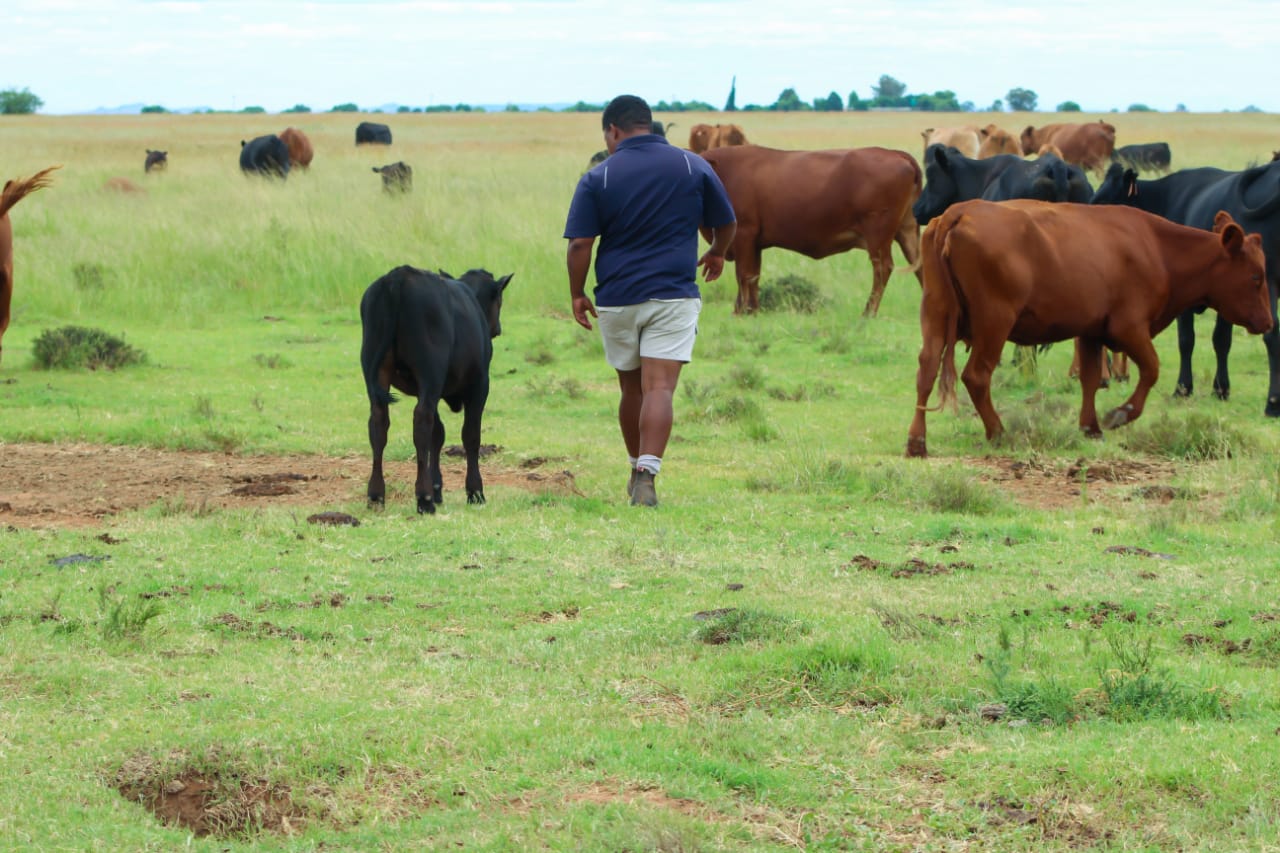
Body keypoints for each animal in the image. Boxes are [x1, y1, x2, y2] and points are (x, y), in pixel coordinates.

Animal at [360, 265, 513, 514]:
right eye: (499, 300)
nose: (497, 328)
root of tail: (399, 275)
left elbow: (438, 434)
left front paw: (437, 488)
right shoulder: (479, 384)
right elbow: (470, 435)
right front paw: (475, 491)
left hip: (378, 372)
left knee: (379, 423)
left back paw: (376, 495)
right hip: (430, 373)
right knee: (422, 421)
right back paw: (424, 498)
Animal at [701, 145, 922, 316]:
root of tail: (894, 153)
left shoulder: (744, 234)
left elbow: (744, 275)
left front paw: (741, 312)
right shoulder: (754, 243)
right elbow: (753, 275)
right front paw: (751, 311)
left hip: (878, 235)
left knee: (883, 269)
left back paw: (868, 313)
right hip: (908, 231)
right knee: (920, 265)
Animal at [906, 201, 1271, 458]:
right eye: (1256, 276)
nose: (1269, 322)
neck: (1158, 249)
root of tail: (958, 212)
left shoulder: (1092, 332)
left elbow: (1091, 378)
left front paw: (1090, 427)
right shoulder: (1129, 329)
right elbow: (1151, 370)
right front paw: (1120, 414)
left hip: (935, 315)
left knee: (926, 371)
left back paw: (917, 441)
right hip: (994, 324)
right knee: (977, 376)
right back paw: (998, 432)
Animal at [1091, 161, 1280, 414]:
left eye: (1103, 200)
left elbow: (1187, 340)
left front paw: (1182, 389)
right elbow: (1221, 340)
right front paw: (1220, 390)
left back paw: (1272, 404)